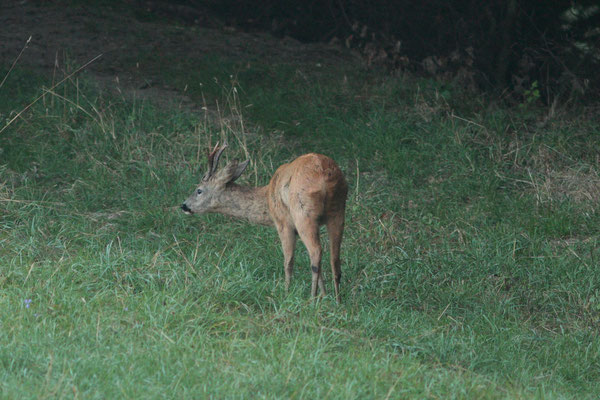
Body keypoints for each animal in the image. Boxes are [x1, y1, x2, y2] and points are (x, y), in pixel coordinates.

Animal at [182, 144, 346, 304]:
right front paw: (324, 295)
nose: (184, 205)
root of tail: (325, 175)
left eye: (199, 190)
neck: (267, 197)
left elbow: (288, 261)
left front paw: (286, 293)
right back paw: (337, 301)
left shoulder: (283, 222)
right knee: (334, 258)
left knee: (316, 252)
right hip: (338, 210)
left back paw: (312, 300)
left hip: (303, 213)